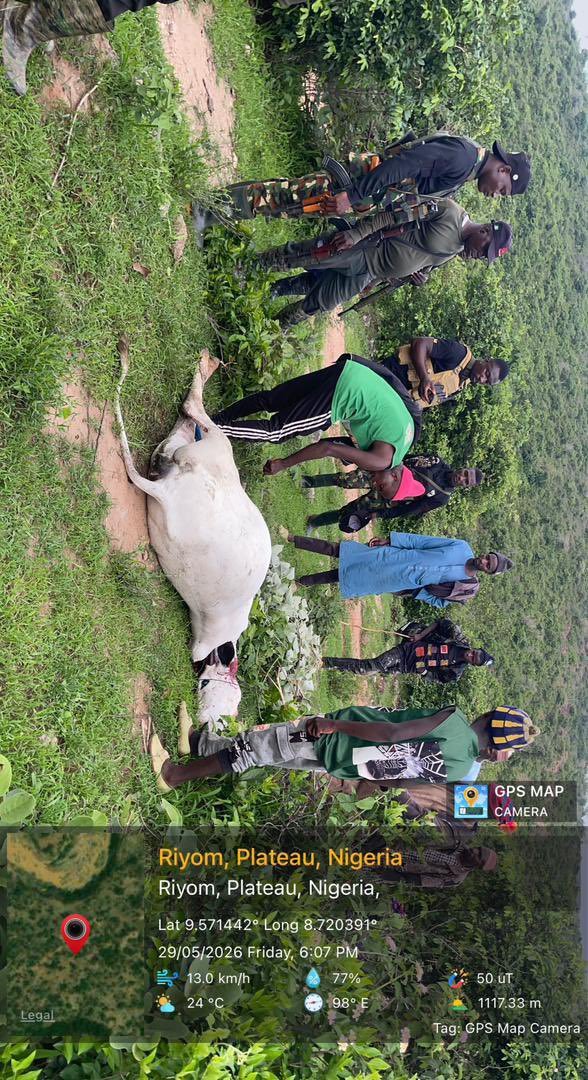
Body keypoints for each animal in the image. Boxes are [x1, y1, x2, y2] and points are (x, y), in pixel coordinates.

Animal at [114, 346, 272, 728]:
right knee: (199, 416)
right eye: (208, 687)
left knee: (185, 429)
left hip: (189, 458)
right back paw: (204, 370)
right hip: (217, 450)